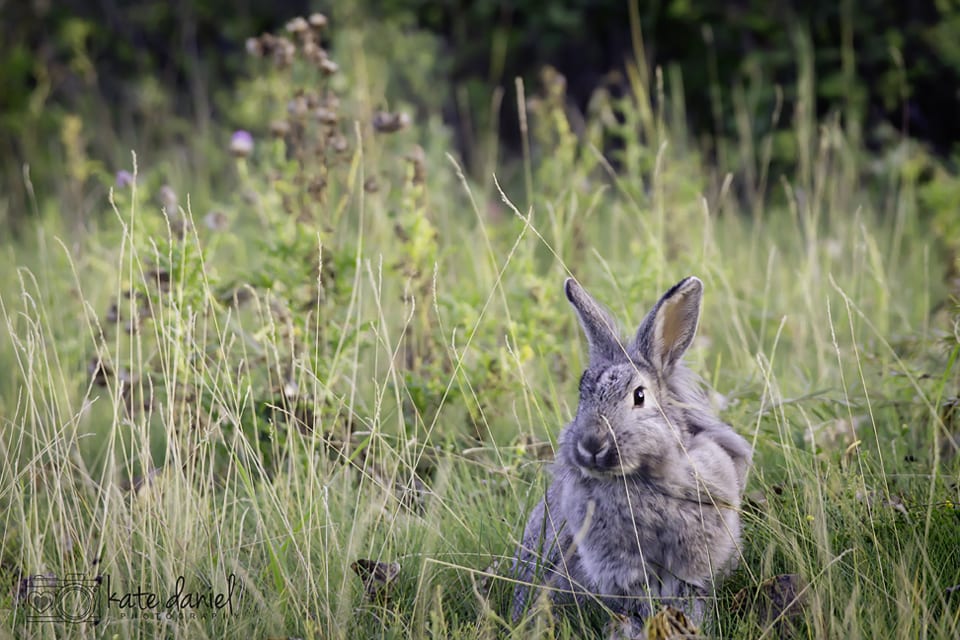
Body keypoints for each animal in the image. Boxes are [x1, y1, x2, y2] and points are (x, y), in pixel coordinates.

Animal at [511, 276, 752, 629]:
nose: (591, 445)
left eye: (639, 396)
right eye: (582, 395)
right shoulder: (618, 567)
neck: (636, 478)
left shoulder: (691, 566)